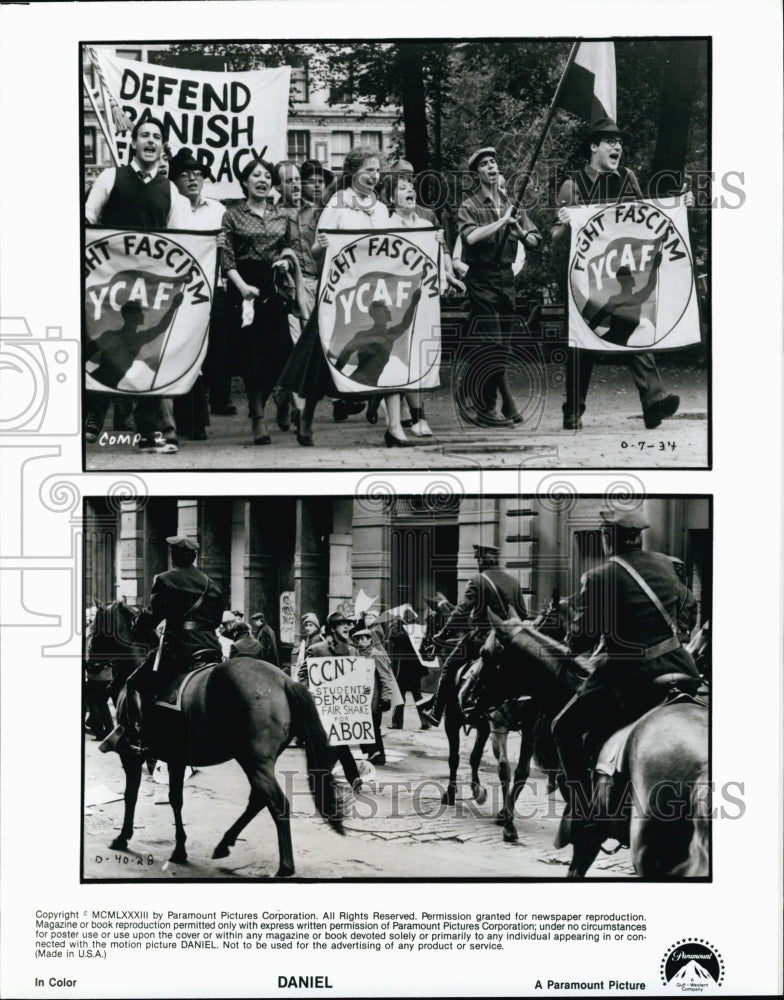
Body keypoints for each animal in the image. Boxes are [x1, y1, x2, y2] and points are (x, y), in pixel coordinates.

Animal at [90, 600, 342, 876]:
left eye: (94, 628)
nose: (89, 664)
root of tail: (285, 680)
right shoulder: (176, 757)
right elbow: (175, 799)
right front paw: (180, 850)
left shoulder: (131, 755)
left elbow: (131, 794)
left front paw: (123, 837)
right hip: (252, 759)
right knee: (258, 799)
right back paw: (224, 843)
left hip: (253, 759)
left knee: (276, 803)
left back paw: (284, 866)